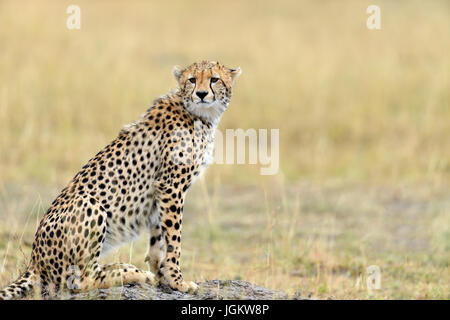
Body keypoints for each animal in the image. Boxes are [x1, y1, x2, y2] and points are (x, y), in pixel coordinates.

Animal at [0, 60, 243, 300]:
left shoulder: (161, 192)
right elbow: (174, 240)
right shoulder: (171, 187)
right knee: (80, 280)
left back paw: (130, 270)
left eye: (214, 79)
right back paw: (129, 273)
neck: (199, 114)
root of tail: (34, 260)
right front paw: (178, 282)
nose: (201, 94)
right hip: (90, 204)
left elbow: (158, 239)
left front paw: (162, 276)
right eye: (192, 80)